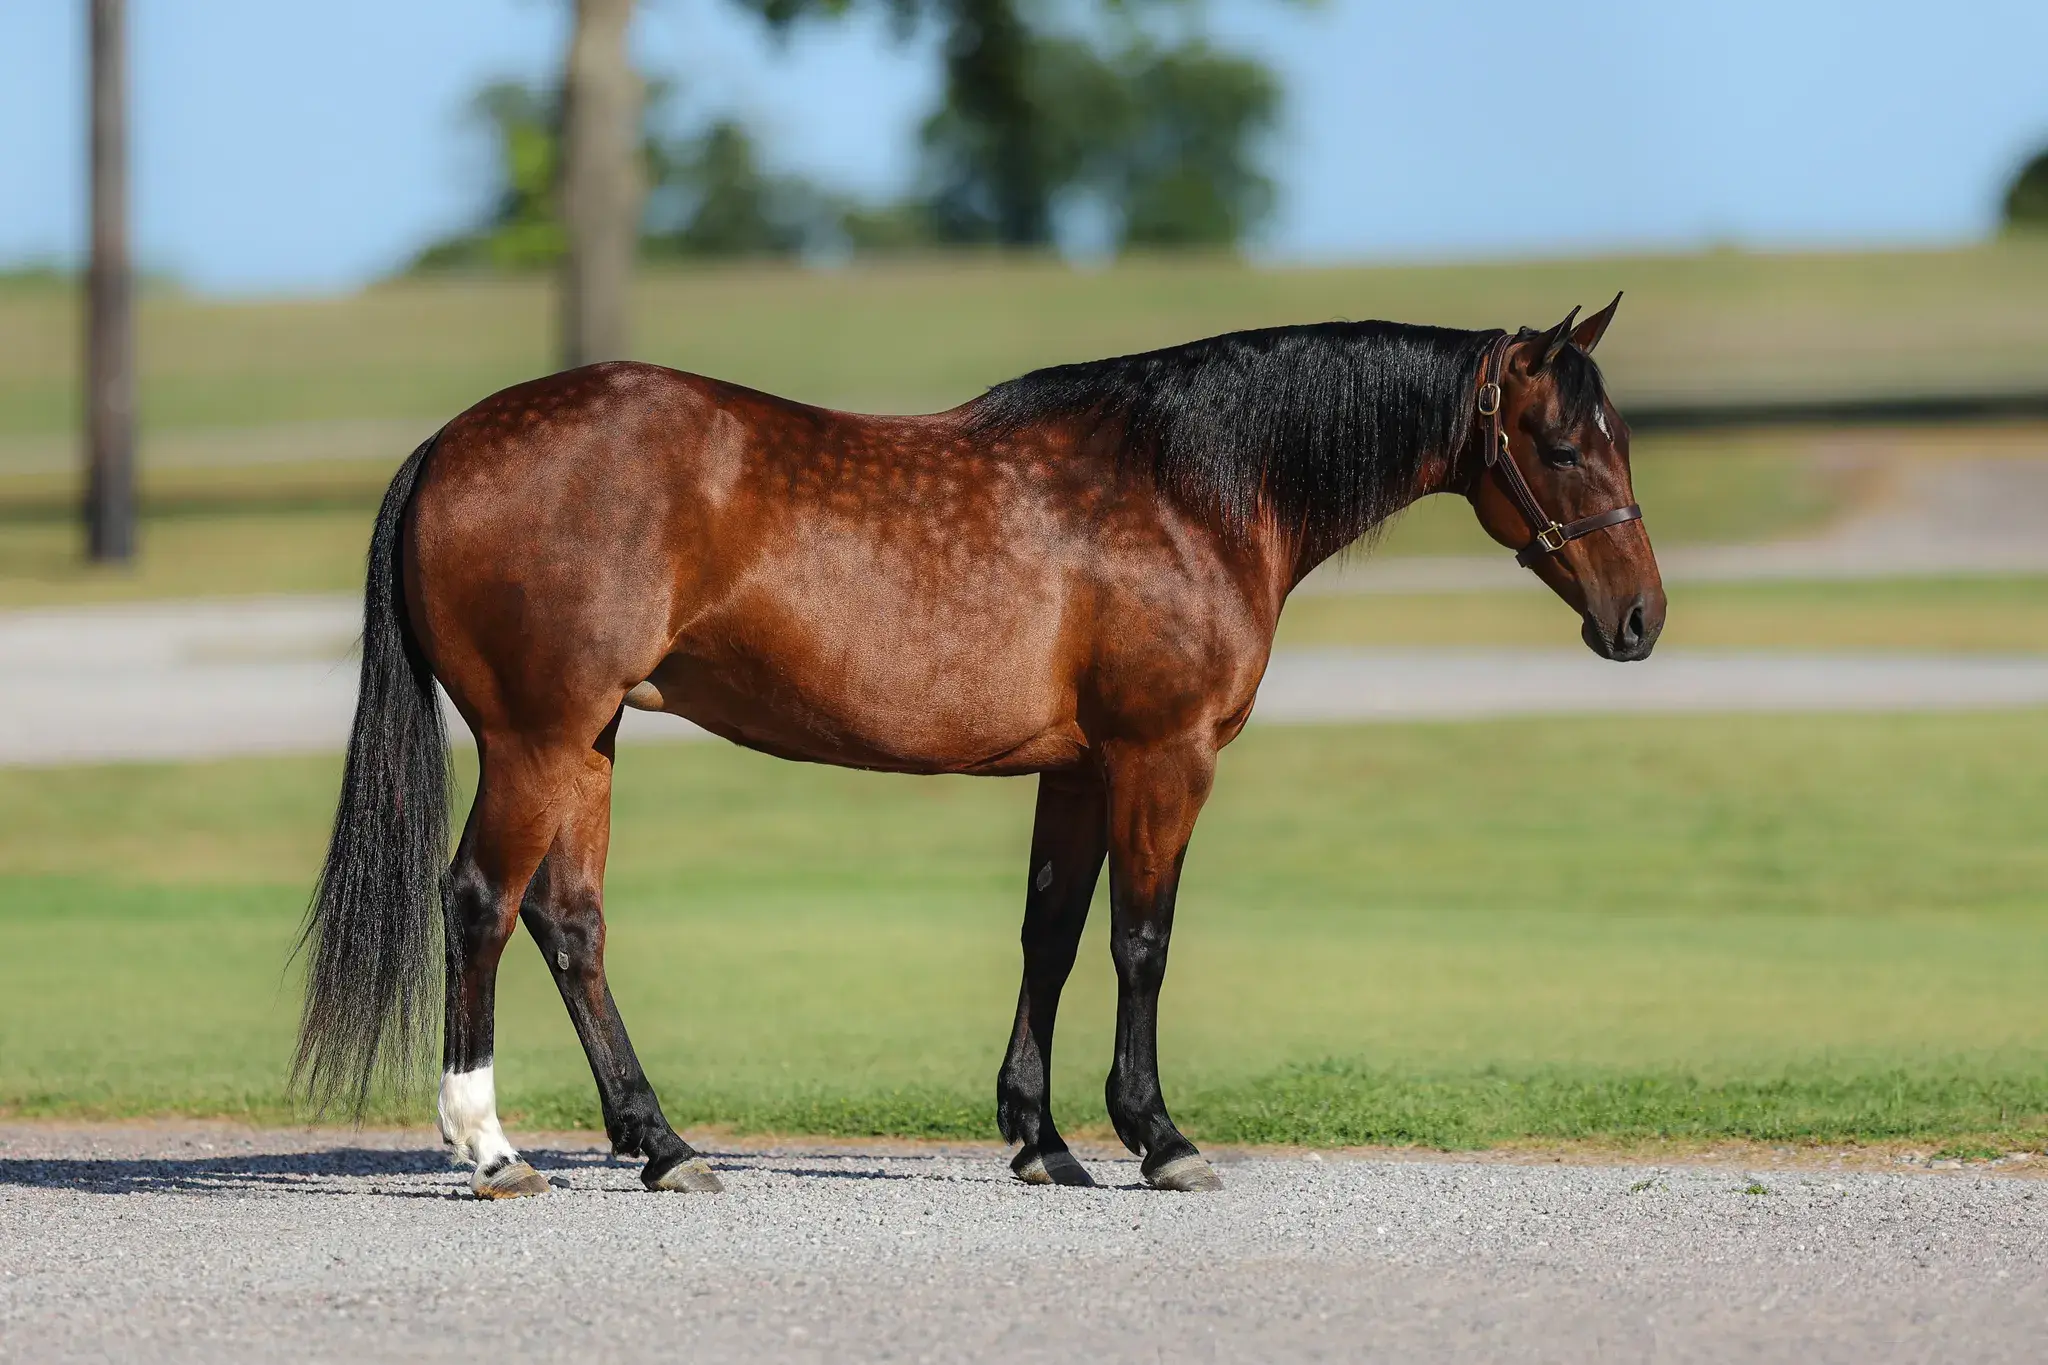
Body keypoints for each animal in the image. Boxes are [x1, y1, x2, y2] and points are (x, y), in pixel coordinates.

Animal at [294, 293, 1663, 1198]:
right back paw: (490, 1147)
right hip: (535, 738)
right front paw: (1157, 1138)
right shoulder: (1163, 755)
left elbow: (1048, 934)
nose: (1639, 619)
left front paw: (1040, 1138)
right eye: (1558, 445)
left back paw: (663, 1145)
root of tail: (450, 446)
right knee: (481, 901)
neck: (1189, 489)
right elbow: (1140, 942)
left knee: (567, 920)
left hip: (588, 739)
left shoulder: (1078, 766)